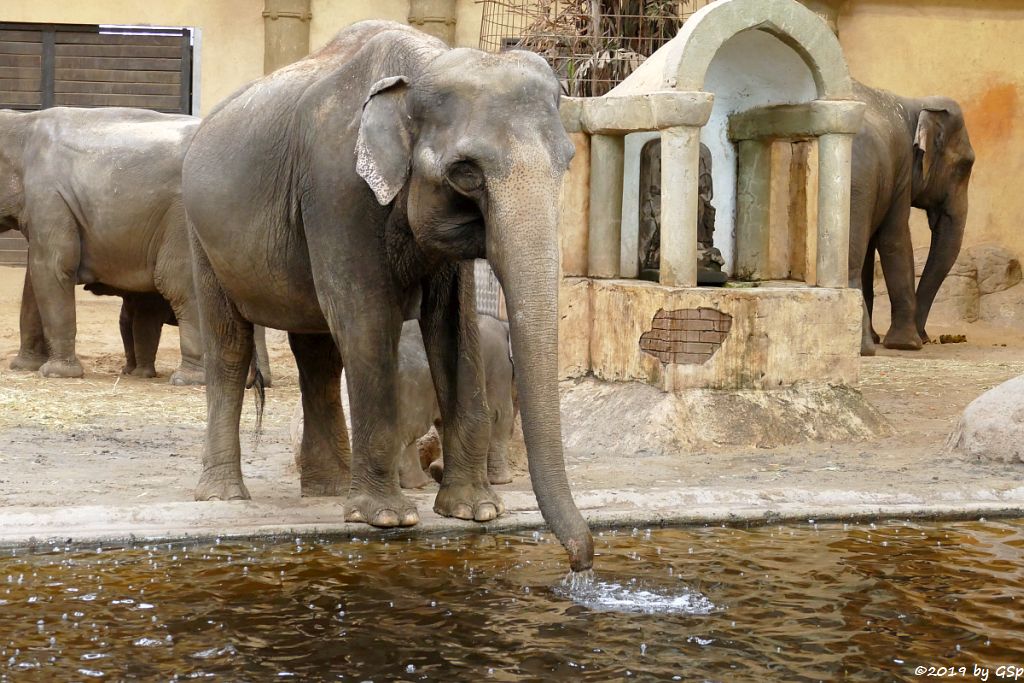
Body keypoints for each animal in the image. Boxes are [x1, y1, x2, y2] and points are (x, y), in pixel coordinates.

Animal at [0, 107, 205, 385]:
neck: (21, 122)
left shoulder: (48, 195)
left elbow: (52, 268)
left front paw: (57, 373)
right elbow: (34, 278)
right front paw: (24, 367)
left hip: (184, 221)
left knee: (180, 286)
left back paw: (188, 379)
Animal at [288, 317, 516, 489]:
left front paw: (441, 472)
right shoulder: (499, 367)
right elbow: (499, 416)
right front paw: (503, 481)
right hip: (411, 388)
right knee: (408, 433)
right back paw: (416, 484)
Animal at [847, 82, 974, 356]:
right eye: (965, 165)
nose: (926, 337)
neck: (916, 104)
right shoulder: (901, 167)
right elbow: (895, 239)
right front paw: (907, 344)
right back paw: (864, 348)